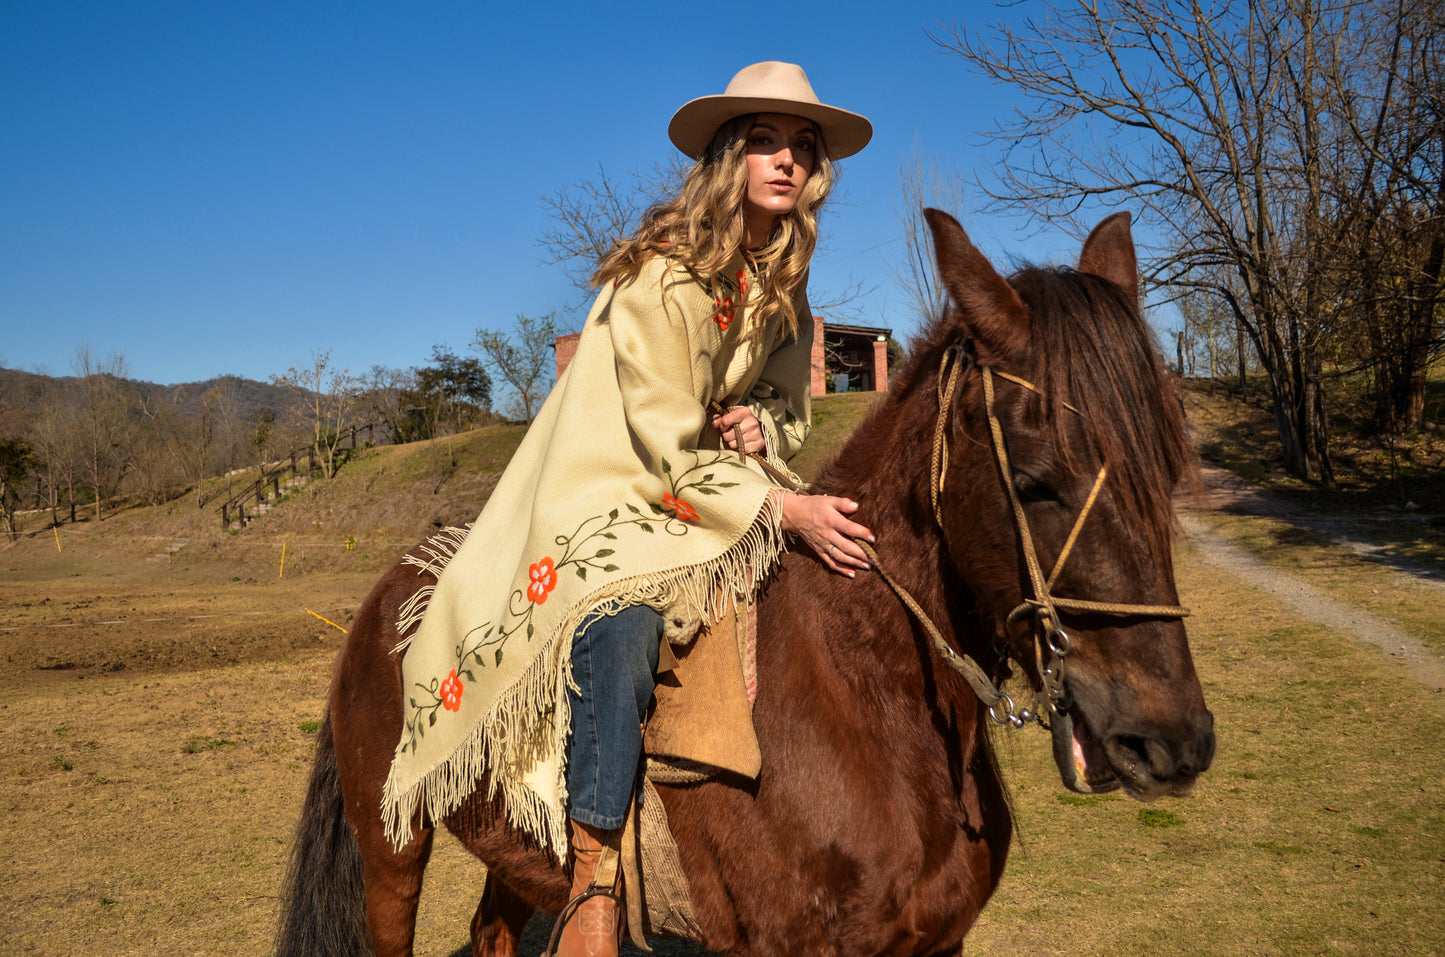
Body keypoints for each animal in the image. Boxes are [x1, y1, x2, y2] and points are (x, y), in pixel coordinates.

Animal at [275, 212, 1213, 957]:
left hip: (513, 851)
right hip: (389, 850)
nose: (1168, 741)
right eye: (1034, 481)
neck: (858, 692)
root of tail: (392, 594)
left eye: (1170, 466)